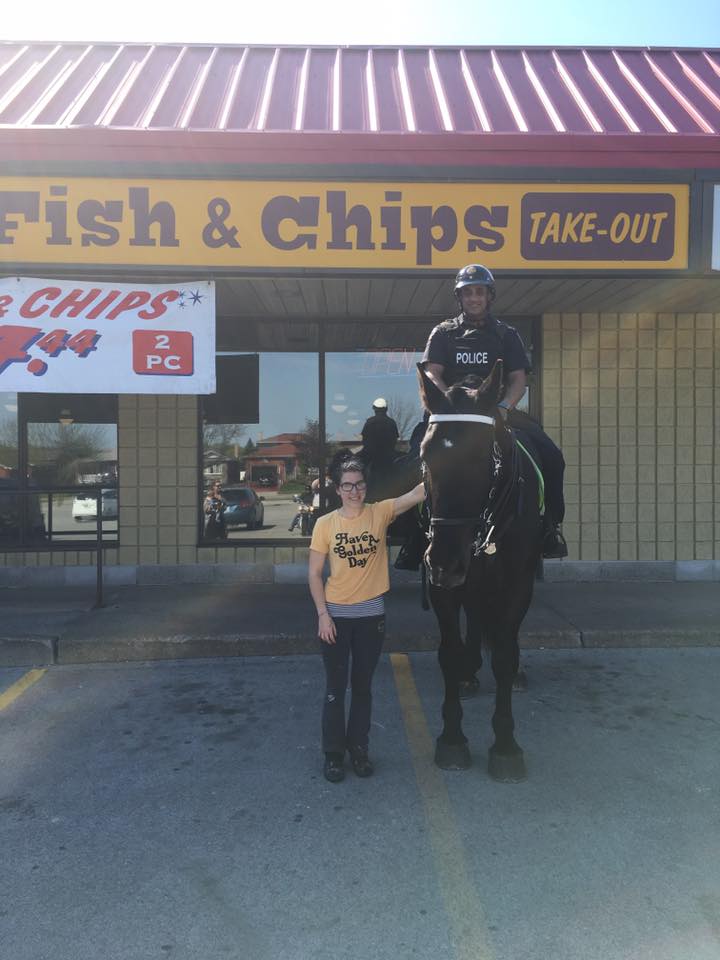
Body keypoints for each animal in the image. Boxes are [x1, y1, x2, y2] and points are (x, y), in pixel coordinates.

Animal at [417, 360, 543, 782]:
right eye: (425, 455)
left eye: (484, 457)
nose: (444, 560)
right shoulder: (442, 586)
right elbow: (449, 652)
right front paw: (452, 739)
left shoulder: (519, 583)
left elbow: (503, 654)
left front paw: (505, 745)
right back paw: (469, 672)